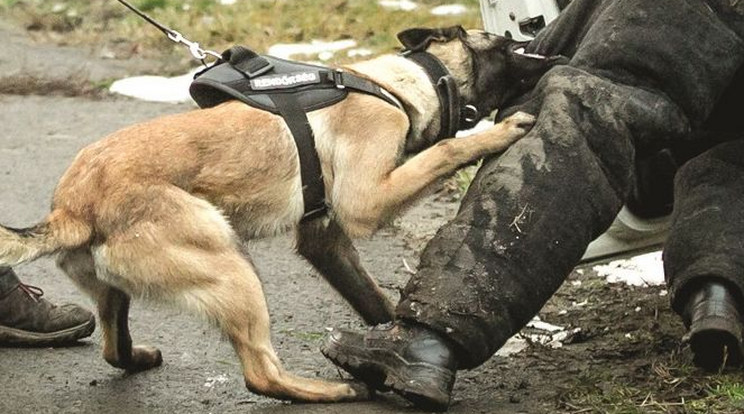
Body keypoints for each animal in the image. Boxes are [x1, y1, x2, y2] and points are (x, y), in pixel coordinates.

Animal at [0, 25, 560, 402]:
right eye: (509, 47)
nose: (556, 56)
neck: (401, 85)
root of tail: (74, 207)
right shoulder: (365, 200)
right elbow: (445, 150)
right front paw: (497, 133)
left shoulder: (326, 241)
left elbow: (374, 302)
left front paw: (391, 351)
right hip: (229, 262)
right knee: (260, 375)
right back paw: (329, 392)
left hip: (126, 288)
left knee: (113, 348)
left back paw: (138, 357)